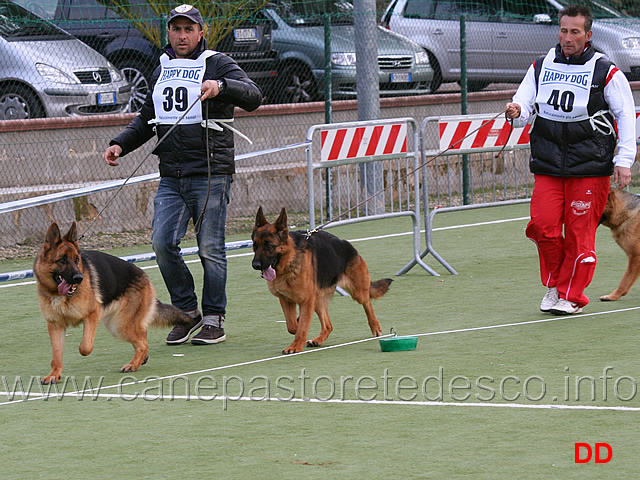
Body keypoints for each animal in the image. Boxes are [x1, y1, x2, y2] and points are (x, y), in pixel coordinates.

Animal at [34, 223, 190, 384]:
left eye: (77, 259)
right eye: (62, 260)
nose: (79, 278)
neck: (59, 295)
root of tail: (144, 275)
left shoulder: (92, 315)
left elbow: (85, 348)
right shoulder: (55, 325)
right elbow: (56, 354)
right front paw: (54, 374)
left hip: (118, 325)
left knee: (143, 343)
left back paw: (133, 364)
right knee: (142, 335)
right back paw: (141, 358)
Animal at [249, 204, 390, 354]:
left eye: (269, 245)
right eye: (254, 245)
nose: (255, 265)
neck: (289, 262)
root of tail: (346, 244)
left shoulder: (306, 300)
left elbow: (302, 326)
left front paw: (295, 346)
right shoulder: (286, 300)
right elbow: (292, 325)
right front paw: (298, 327)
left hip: (357, 292)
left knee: (367, 303)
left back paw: (375, 326)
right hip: (318, 300)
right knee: (328, 325)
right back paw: (317, 340)